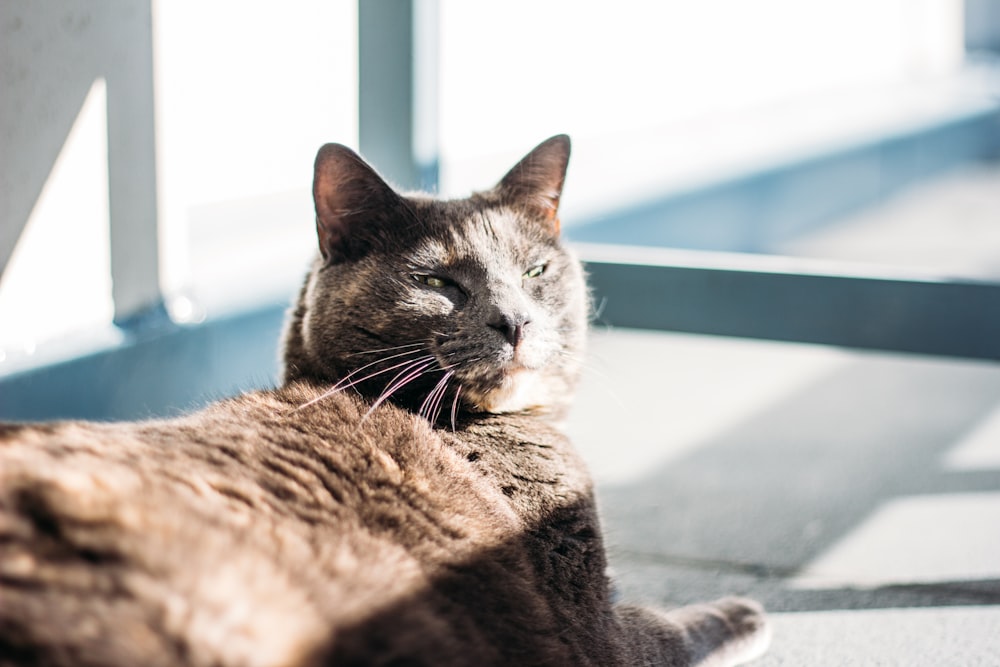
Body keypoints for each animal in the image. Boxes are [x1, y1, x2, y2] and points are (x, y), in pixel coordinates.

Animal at [0, 136, 772, 667]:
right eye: (437, 282)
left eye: (535, 271)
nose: (515, 321)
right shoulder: (583, 623)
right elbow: (662, 629)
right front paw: (744, 612)